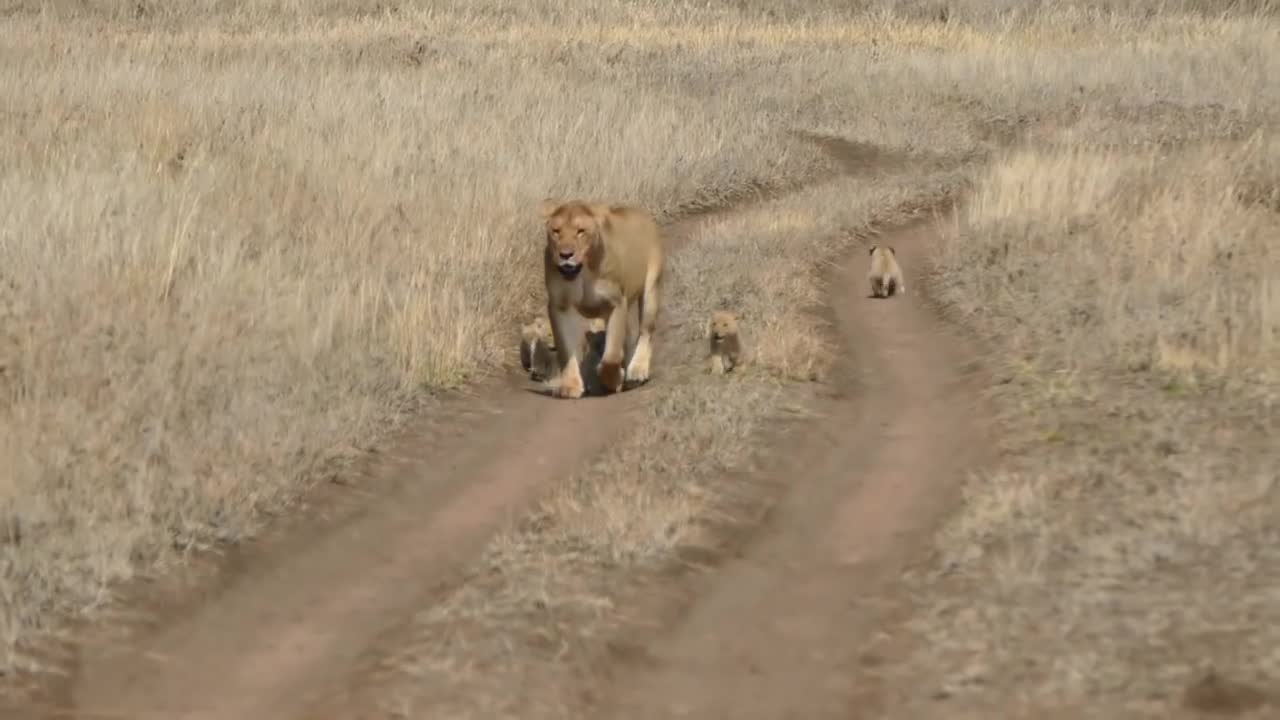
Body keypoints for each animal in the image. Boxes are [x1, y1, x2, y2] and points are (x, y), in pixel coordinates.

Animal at [535, 197, 665, 397]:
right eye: (556, 232)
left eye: (580, 232)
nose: (565, 255)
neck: (583, 273)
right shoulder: (560, 307)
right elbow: (566, 350)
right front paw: (571, 386)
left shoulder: (616, 303)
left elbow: (612, 354)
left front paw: (613, 380)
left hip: (650, 291)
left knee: (645, 332)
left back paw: (637, 371)